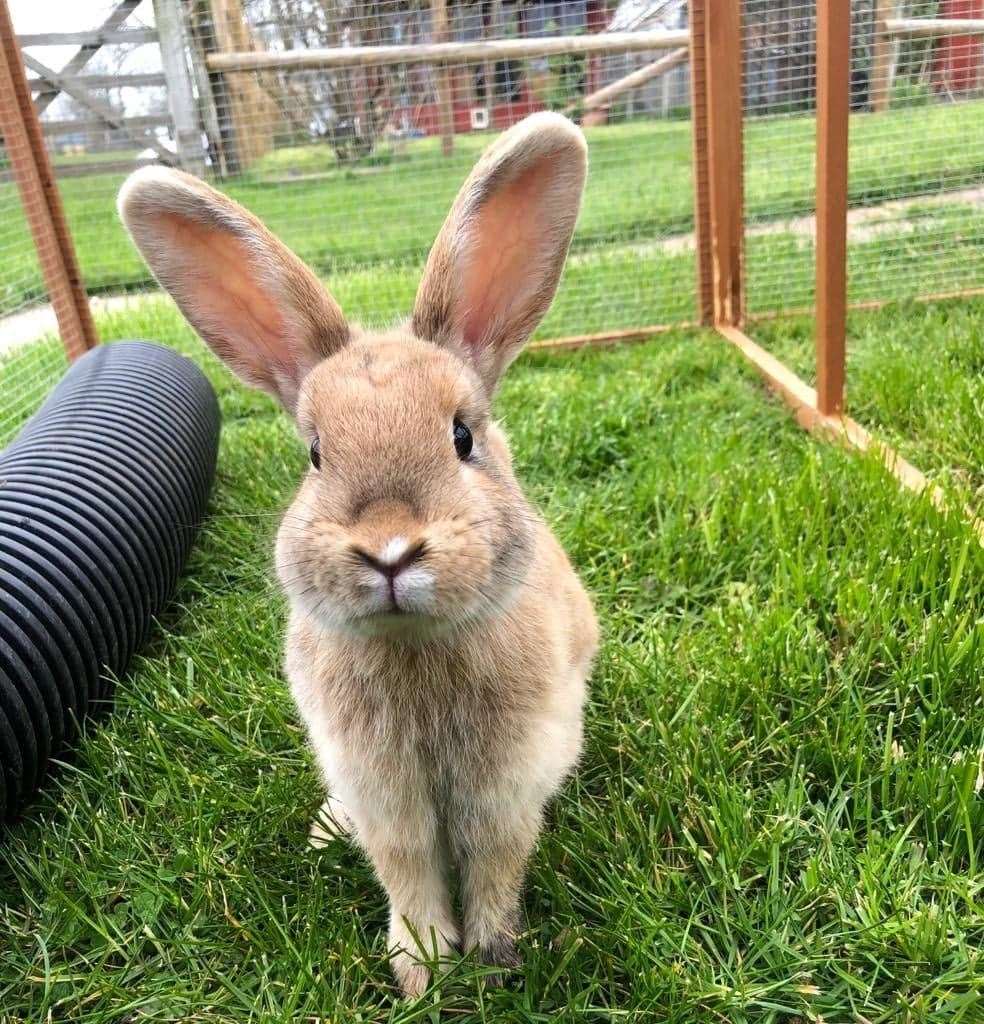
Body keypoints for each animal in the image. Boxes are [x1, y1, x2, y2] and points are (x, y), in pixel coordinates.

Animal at [120, 114, 597, 999]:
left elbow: (496, 863)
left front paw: (494, 958)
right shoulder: (384, 795)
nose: (389, 550)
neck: (415, 651)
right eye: (314, 455)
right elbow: (406, 871)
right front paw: (421, 971)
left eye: (463, 436)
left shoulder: (505, 788)